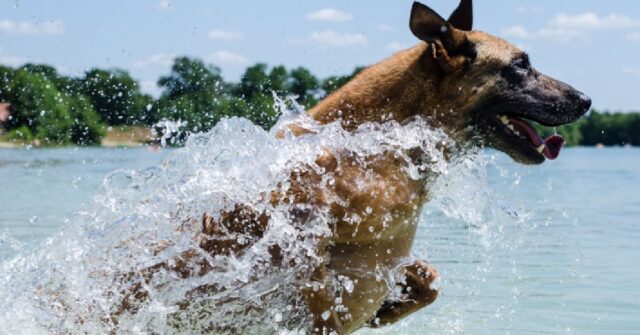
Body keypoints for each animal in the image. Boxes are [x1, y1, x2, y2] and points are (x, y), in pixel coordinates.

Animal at [117, 1, 592, 334]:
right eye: (520, 65)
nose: (587, 99)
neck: (385, 144)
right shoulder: (289, 231)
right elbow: (318, 295)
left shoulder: (387, 254)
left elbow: (429, 282)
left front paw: (387, 310)